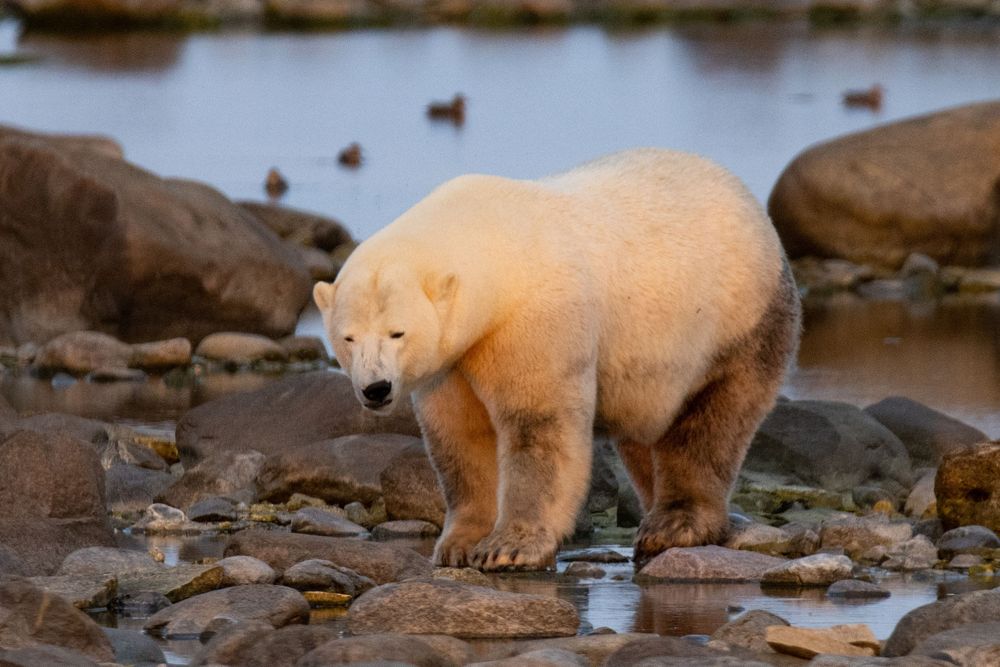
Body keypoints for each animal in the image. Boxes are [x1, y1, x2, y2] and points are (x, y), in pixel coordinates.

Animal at [313, 148, 801, 571]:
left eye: (397, 332)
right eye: (348, 337)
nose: (376, 389)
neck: (493, 249)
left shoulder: (535, 320)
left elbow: (538, 429)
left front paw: (510, 547)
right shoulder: (453, 361)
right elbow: (461, 438)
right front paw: (459, 544)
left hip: (736, 320)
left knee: (709, 423)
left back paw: (675, 523)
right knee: (643, 434)